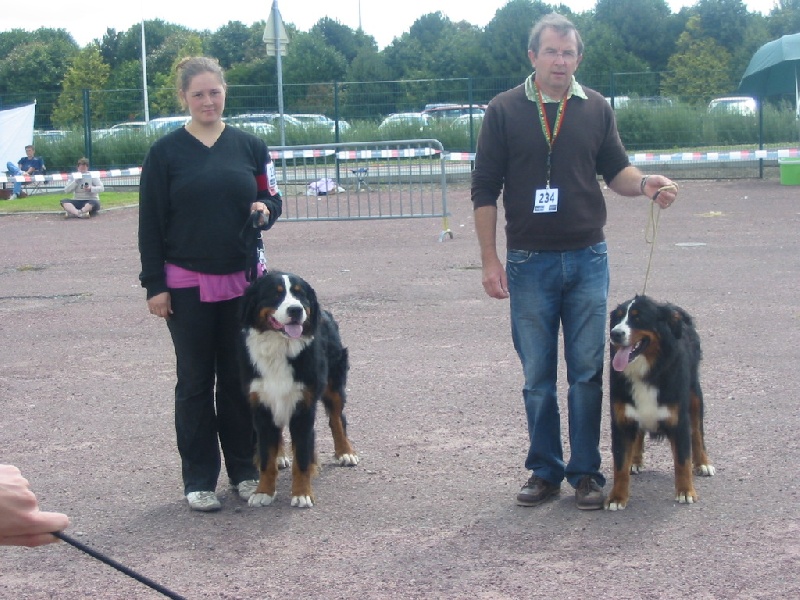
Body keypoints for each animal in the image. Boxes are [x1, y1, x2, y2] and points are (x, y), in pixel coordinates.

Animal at [239, 270, 358, 508]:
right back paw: (280, 456)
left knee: (337, 419)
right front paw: (263, 492)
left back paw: (345, 452)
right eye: (275, 294)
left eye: (299, 294)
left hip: (333, 385)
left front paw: (302, 494)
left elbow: (302, 457)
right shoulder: (262, 405)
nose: (296, 310)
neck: (279, 348)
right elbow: (266, 457)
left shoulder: (304, 406)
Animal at [608, 296, 716, 510]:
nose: (615, 333)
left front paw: (685, 492)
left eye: (638, 318)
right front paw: (617, 497)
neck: (645, 371)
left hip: (694, 396)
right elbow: (620, 465)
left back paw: (702, 463)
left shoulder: (679, 420)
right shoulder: (621, 421)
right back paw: (635, 460)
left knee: (697, 433)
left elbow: (682, 460)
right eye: (617, 318)